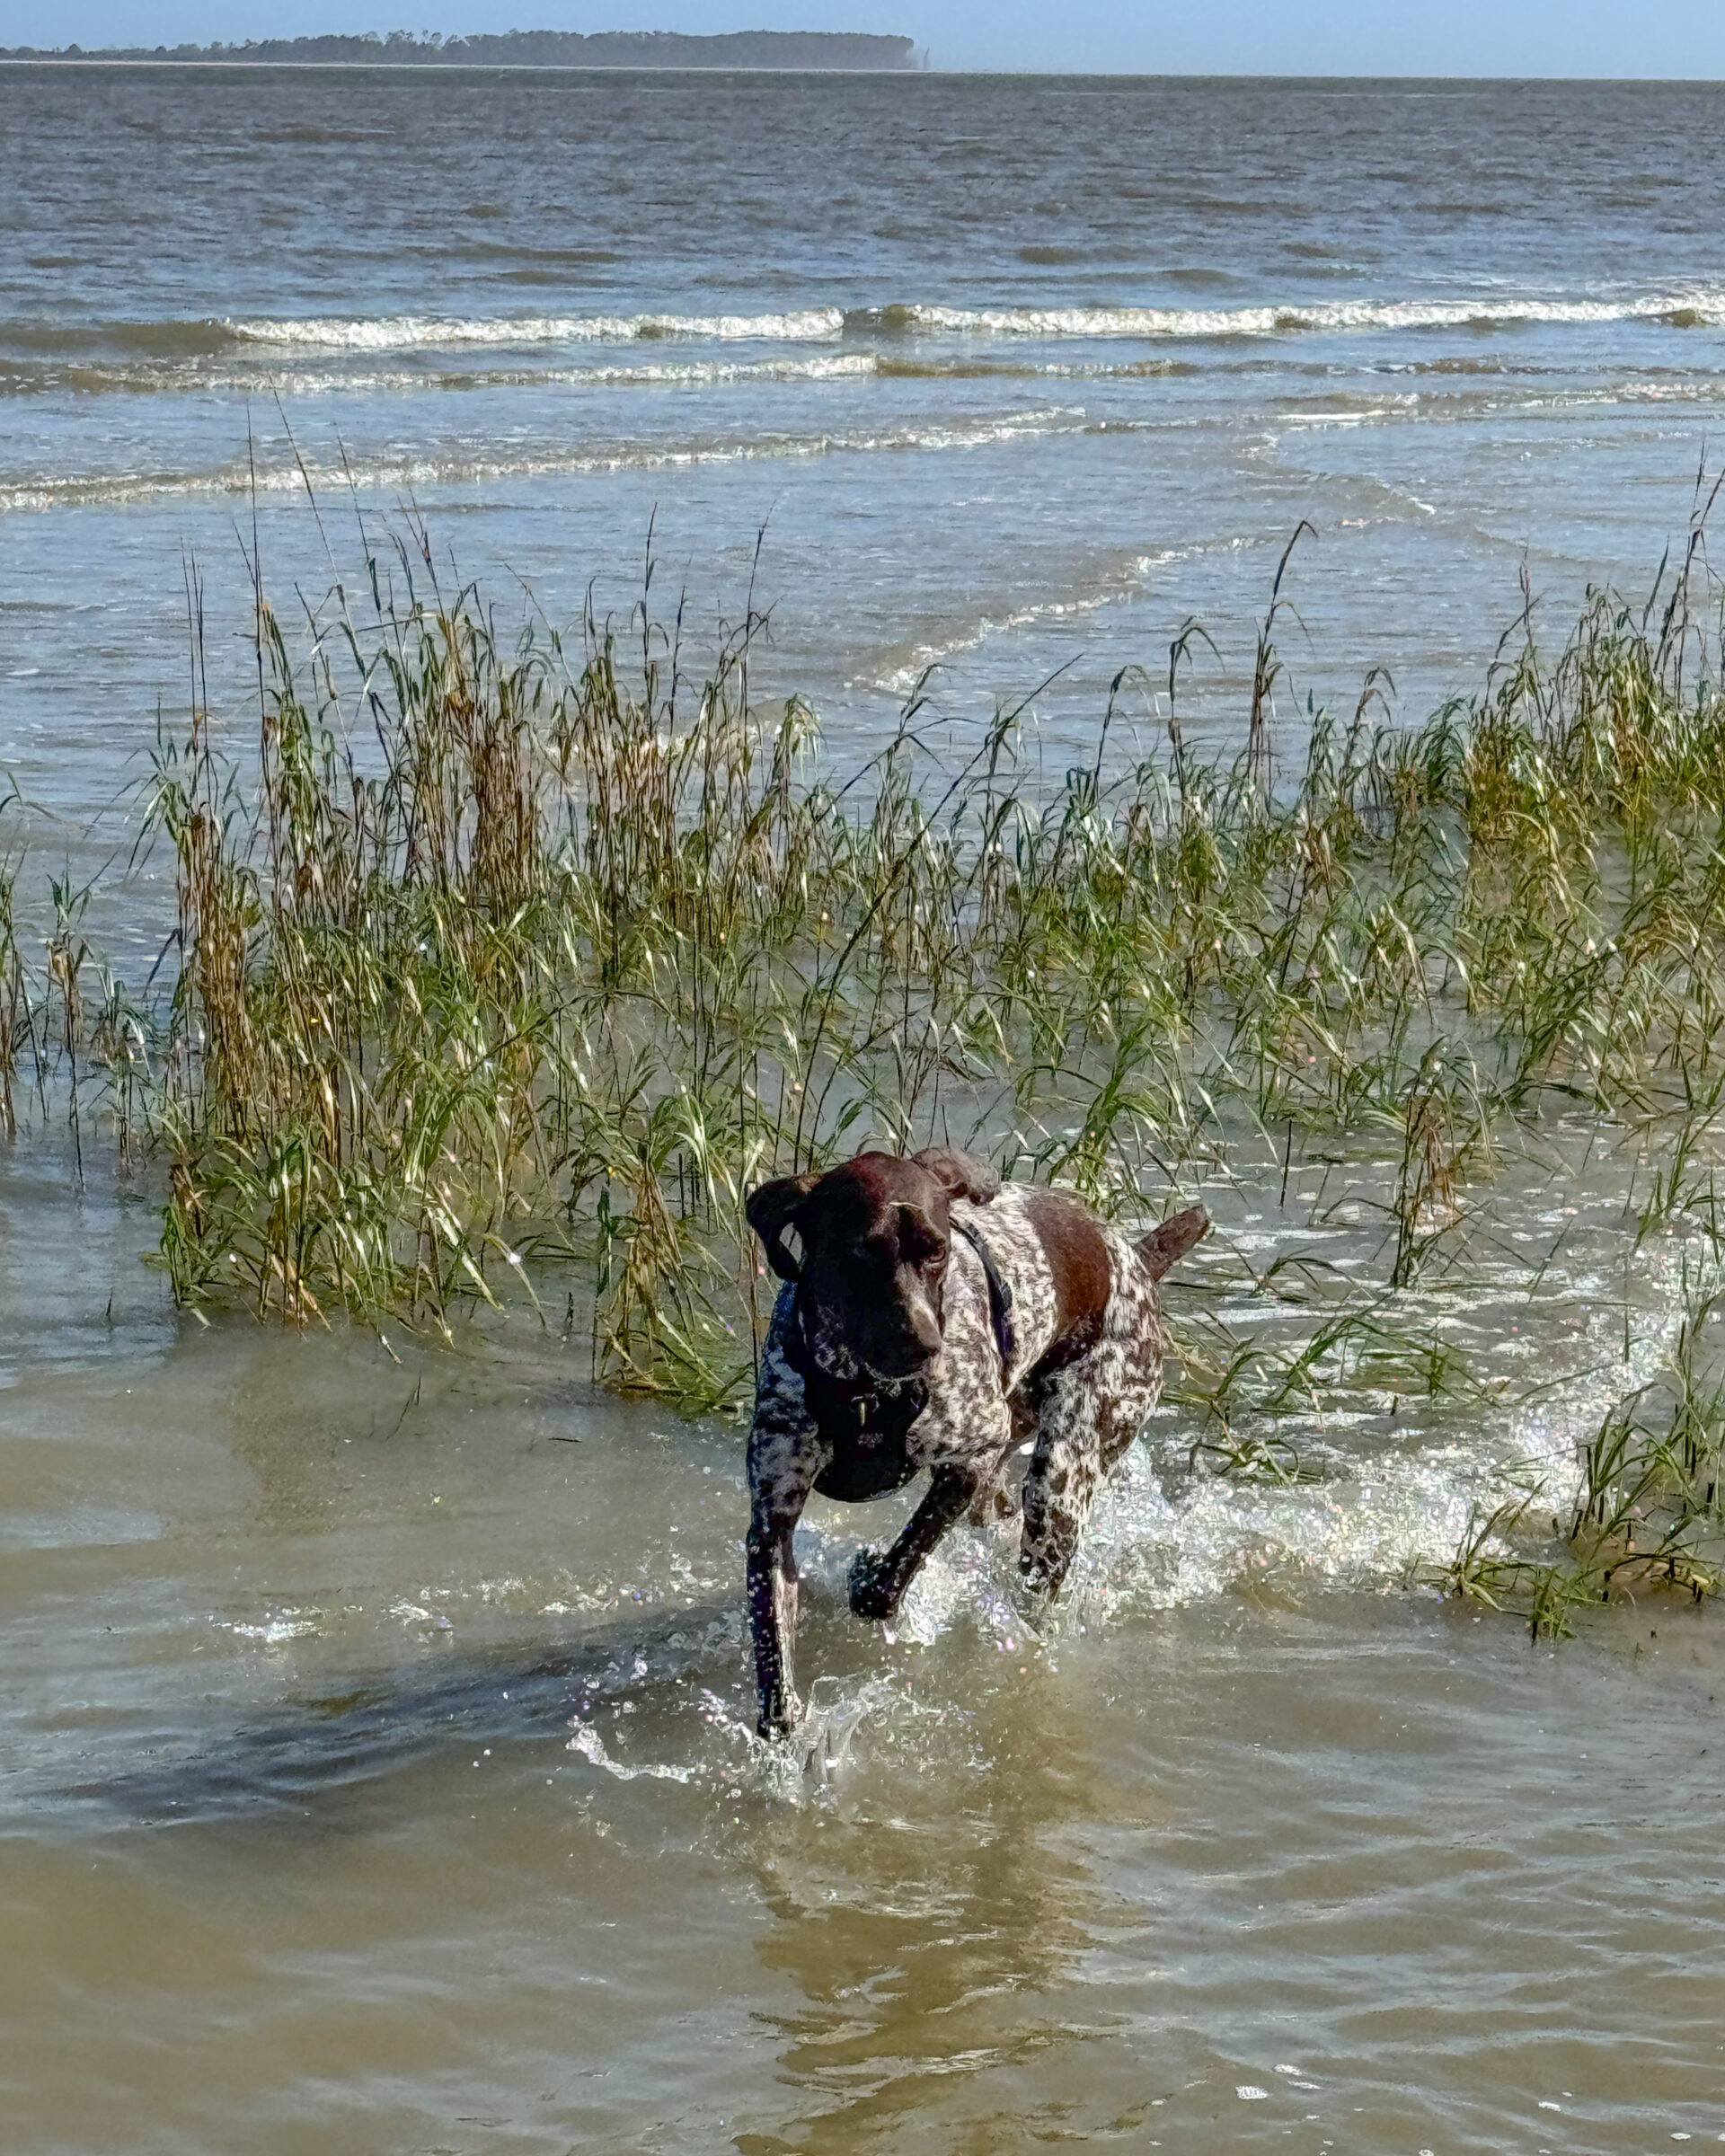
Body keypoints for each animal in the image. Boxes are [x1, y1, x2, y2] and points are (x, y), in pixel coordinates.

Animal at [746, 1146, 1216, 1733]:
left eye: (938, 1252)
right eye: (858, 1254)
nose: (926, 1345)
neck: (864, 1390)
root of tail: (1136, 1259)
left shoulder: (972, 1455)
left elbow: (890, 1578)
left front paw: (868, 1578)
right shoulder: (772, 1517)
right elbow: (773, 1643)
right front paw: (783, 1722)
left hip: (1059, 1485)